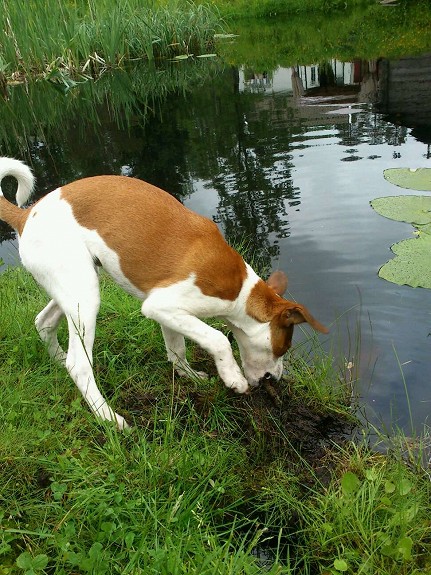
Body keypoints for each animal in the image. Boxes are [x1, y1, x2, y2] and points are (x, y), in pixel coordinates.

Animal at [0, 158, 330, 428]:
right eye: (283, 348)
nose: (277, 379)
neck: (241, 290)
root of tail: (25, 215)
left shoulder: (169, 315)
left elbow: (176, 349)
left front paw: (190, 376)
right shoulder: (163, 305)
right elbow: (218, 338)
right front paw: (233, 378)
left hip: (75, 287)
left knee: (44, 322)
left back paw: (57, 360)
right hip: (85, 295)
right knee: (79, 365)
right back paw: (109, 418)